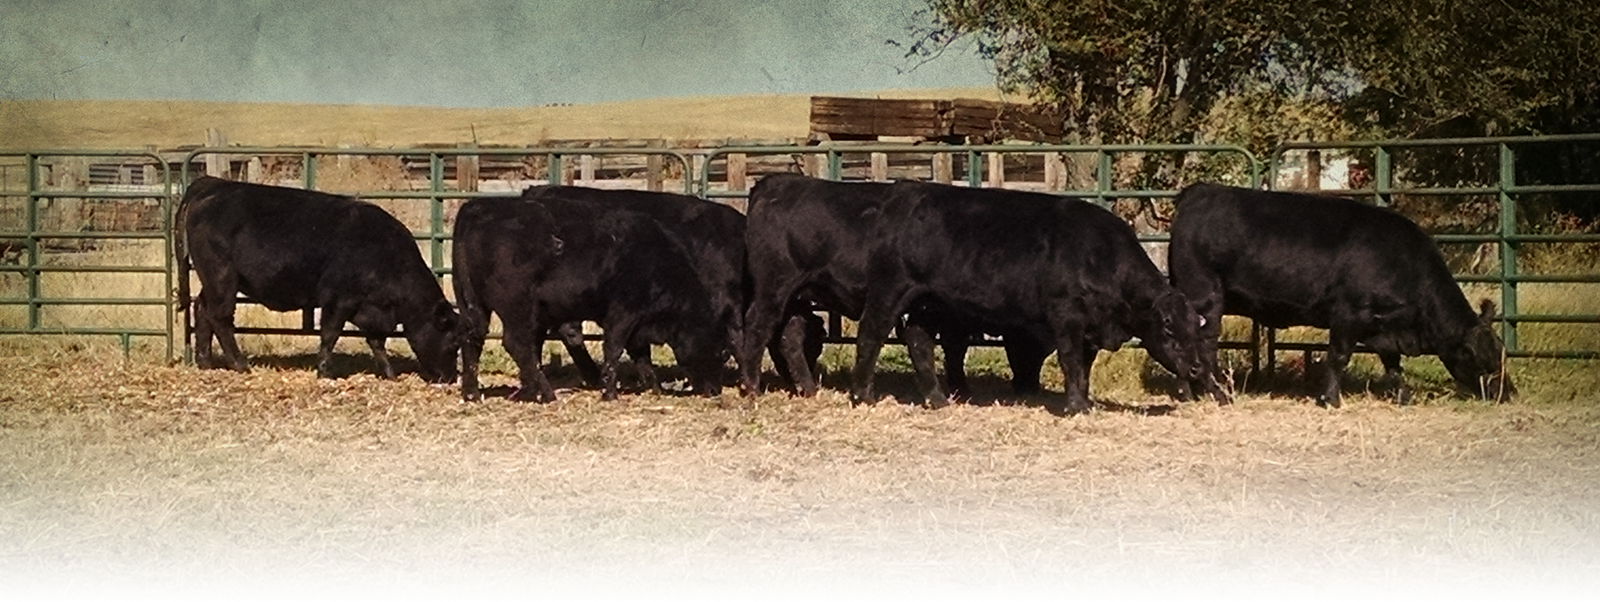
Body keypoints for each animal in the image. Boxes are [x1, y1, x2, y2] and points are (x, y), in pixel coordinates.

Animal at [174, 176, 460, 383]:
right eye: (453, 343)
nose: (449, 378)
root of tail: (213, 184)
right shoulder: (337, 300)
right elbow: (330, 335)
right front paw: (324, 372)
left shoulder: (370, 310)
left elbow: (377, 342)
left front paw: (389, 374)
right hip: (222, 278)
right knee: (220, 317)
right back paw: (239, 363)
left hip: (212, 281)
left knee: (201, 309)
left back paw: (205, 362)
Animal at [451, 194, 729, 402]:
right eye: (720, 351)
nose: (715, 389)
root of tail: (478, 207)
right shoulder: (623, 313)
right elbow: (614, 349)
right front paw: (610, 393)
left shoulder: (637, 322)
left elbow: (642, 357)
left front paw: (655, 389)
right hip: (517, 307)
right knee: (518, 344)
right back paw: (546, 393)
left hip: (476, 306)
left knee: (473, 338)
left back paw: (473, 393)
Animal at [843, 180, 1208, 414]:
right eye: (1169, 327)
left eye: (1195, 328)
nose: (1195, 369)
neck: (1098, 255)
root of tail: (902, 194)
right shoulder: (1067, 317)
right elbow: (1070, 361)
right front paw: (1076, 407)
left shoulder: (1091, 327)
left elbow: (1084, 368)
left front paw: (1084, 401)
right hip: (890, 289)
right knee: (871, 335)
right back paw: (863, 395)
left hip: (931, 303)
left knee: (919, 341)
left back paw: (937, 398)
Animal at [1167, 183, 1515, 407]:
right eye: (1486, 361)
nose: (1508, 393)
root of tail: (1200, 192)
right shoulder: (1350, 313)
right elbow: (1338, 357)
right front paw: (1330, 399)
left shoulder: (1382, 325)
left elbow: (1393, 364)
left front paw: (1403, 397)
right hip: (1206, 297)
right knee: (1203, 346)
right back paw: (1218, 395)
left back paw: (1191, 393)